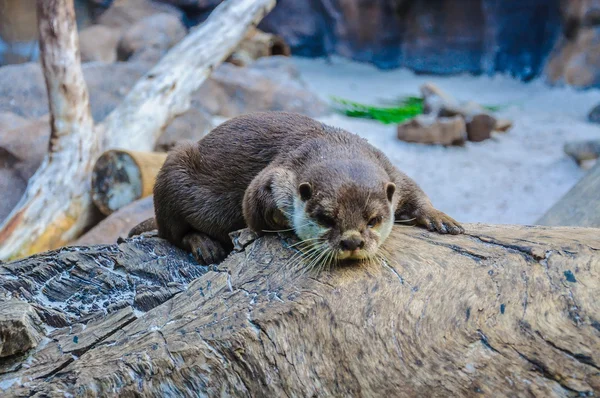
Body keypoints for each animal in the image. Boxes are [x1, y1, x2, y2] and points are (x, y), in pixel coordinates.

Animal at [137, 111, 464, 268]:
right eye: (326, 219)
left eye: (373, 221)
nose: (352, 242)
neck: (334, 145)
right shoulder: (281, 171)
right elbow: (251, 203)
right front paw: (263, 226)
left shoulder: (391, 171)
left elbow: (414, 190)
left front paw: (440, 218)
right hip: (173, 170)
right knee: (170, 233)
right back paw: (204, 245)